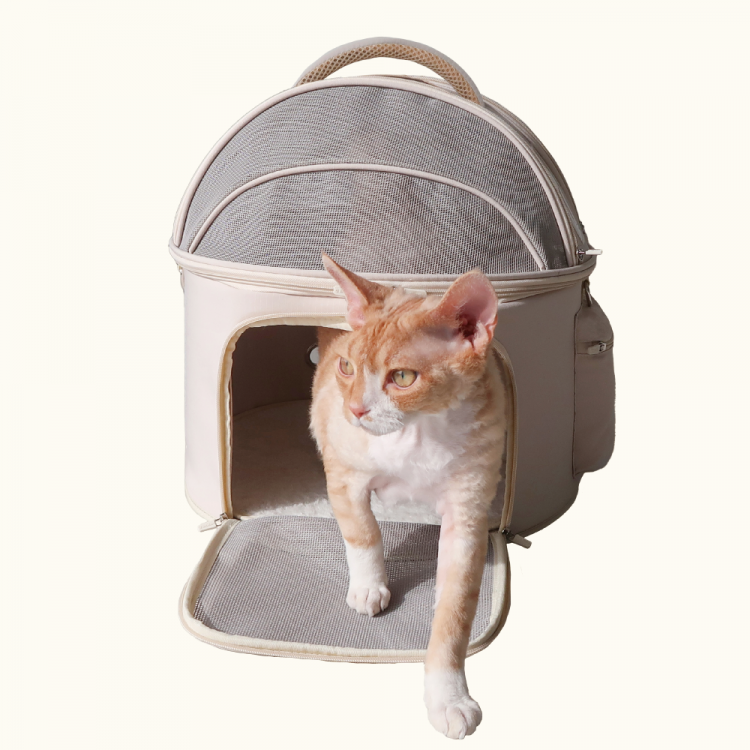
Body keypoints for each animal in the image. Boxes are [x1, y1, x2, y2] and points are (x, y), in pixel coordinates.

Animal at [310, 254, 506, 740]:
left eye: (402, 377)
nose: (356, 410)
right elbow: (363, 532)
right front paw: (368, 587)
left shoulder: (467, 511)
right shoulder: (344, 474)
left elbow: (455, 611)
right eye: (346, 368)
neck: (418, 434)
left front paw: (448, 697)